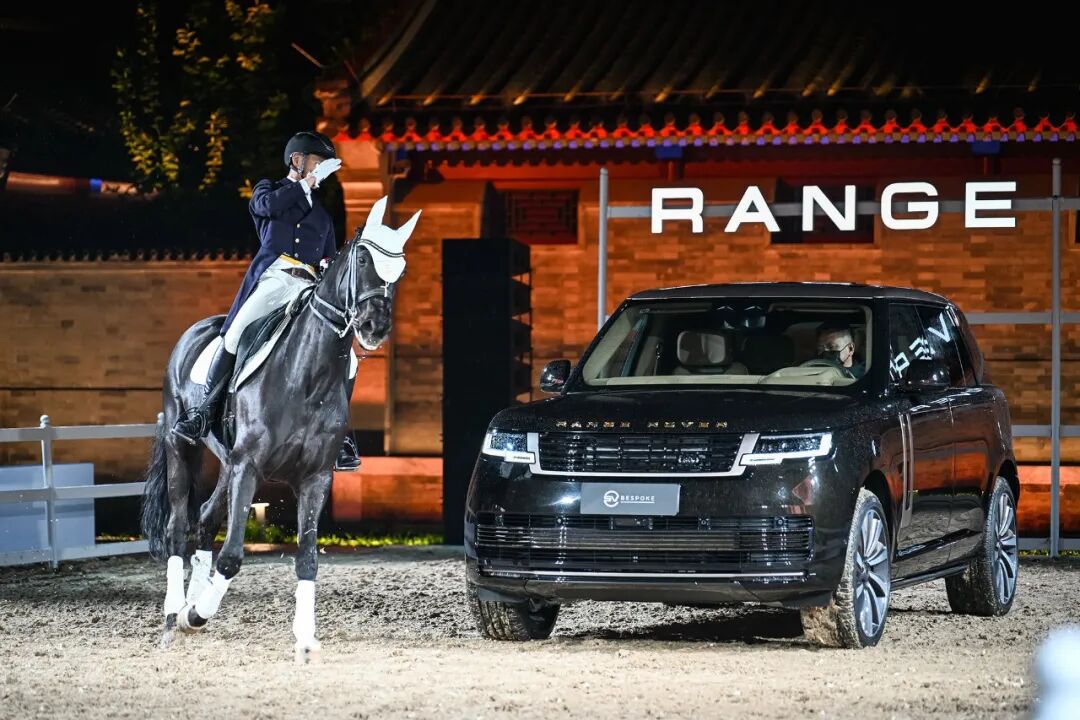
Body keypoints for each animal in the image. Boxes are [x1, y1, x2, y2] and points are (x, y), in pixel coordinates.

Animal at [140, 197, 418, 662]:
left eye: (401, 269)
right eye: (362, 258)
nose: (374, 327)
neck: (306, 378)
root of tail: (196, 330)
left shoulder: (314, 478)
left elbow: (307, 558)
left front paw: (304, 638)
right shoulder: (250, 467)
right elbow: (232, 557)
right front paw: (196, 614)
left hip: (227, 463)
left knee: (205, 518)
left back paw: (189, 605)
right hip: (185, 446)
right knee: (178, 527)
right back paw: (175, 613)